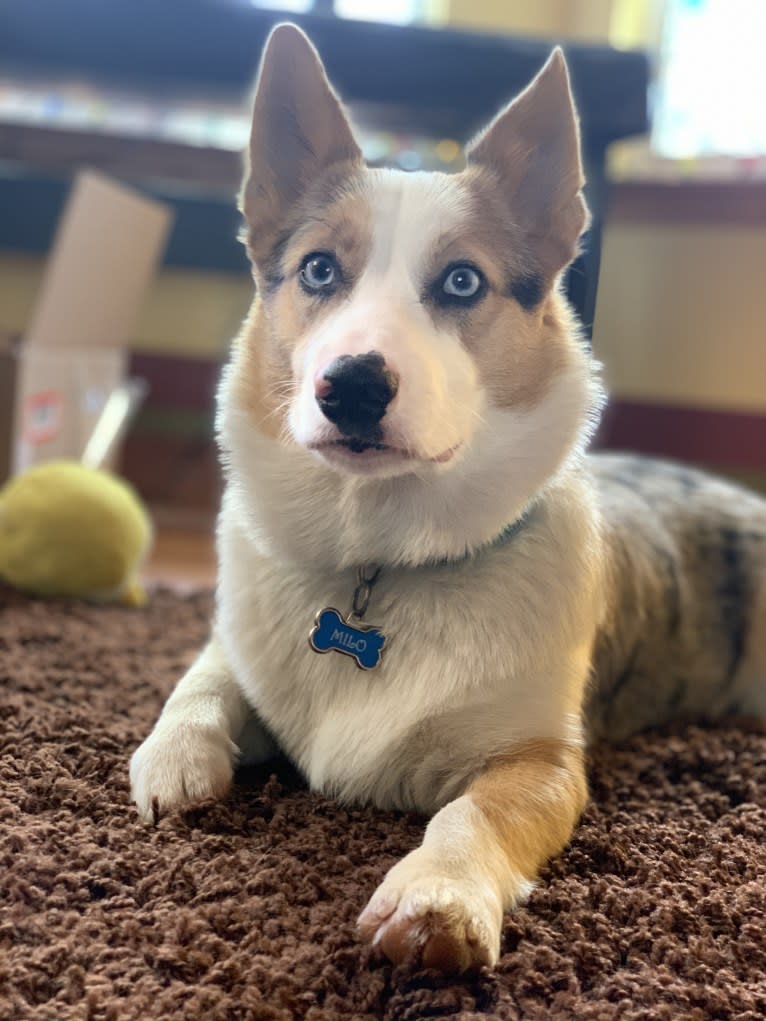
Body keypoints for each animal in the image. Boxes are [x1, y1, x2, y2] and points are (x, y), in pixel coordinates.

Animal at [129, 19, 763, 967]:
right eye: (319, 270)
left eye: (462, 281)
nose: (351, 386)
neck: (380, 556)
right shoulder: (233, 649)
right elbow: (201, 681)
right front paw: (173, 757)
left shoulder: (542, 762)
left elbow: (473, 814)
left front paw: (437, 895)